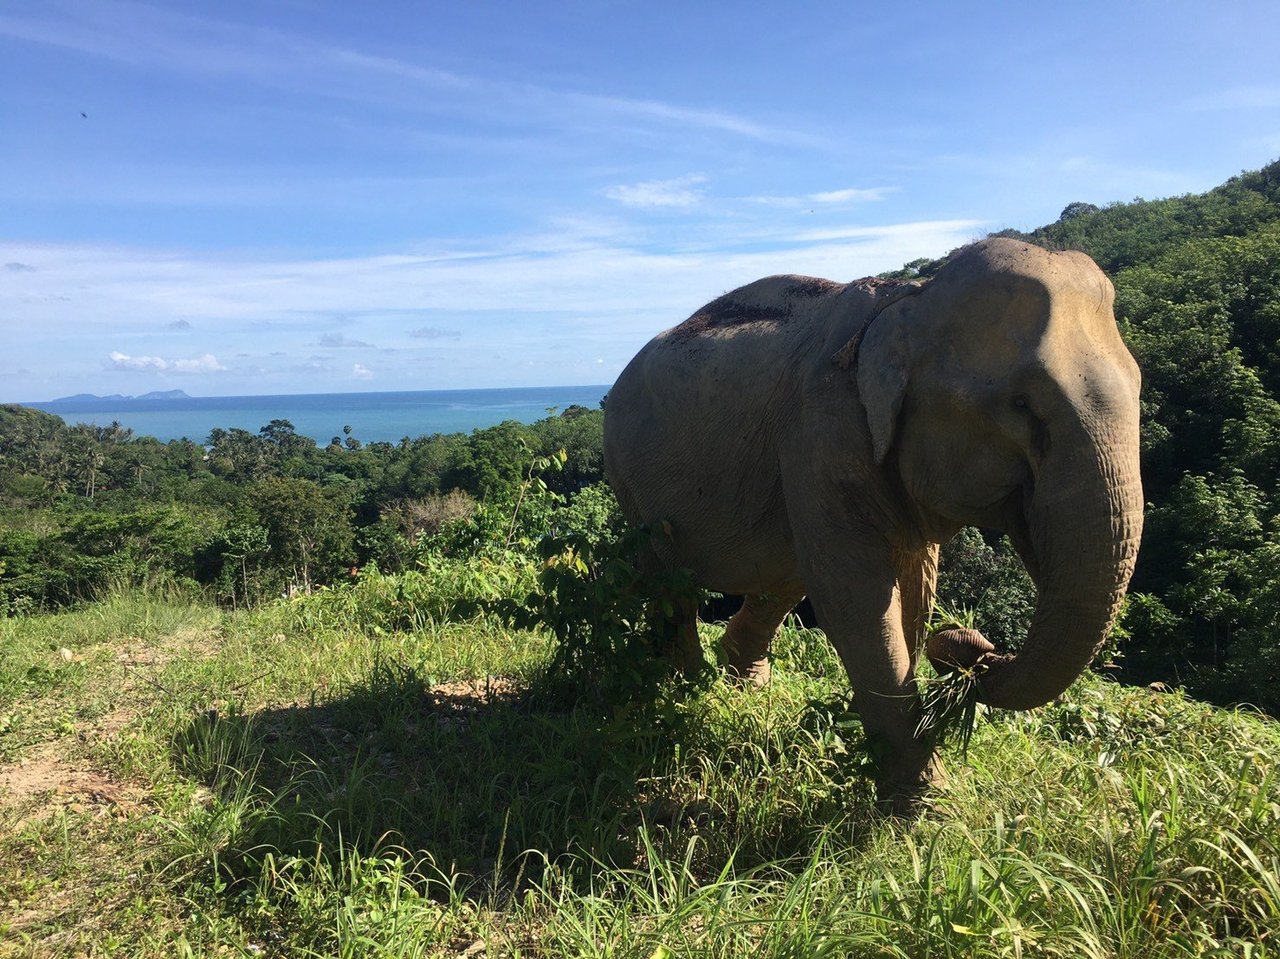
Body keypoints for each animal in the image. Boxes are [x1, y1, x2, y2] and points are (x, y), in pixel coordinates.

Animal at [604, 235, 1146, 804]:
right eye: (1021, 404)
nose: (964, 646)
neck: (910, 298)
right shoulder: (823, 429)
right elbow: (855, 595)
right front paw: (925, 803)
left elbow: (914, 590)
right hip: (630, 481)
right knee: (674, 584)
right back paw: (686, 689)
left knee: (783, 575)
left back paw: (743, 684)